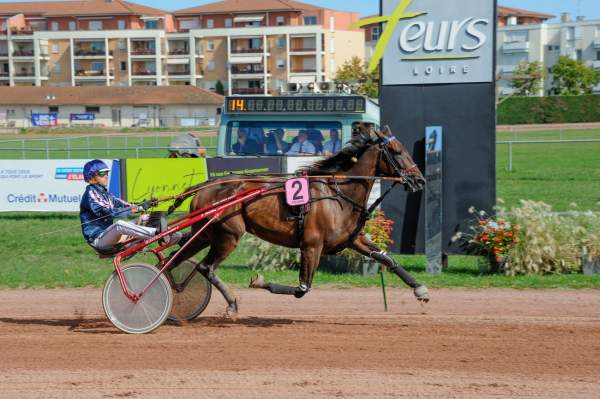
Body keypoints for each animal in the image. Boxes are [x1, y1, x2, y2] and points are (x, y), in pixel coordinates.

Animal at [169, 126, 432, 318]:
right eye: (396, 151)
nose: (420, 180)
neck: (338, 195)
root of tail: (204, 186)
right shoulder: (311, 246)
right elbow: (302, 289)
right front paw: (259, 281)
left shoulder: (351, 240)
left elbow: (387, 259)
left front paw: (420, 289)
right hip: (228, 236)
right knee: (205, 267)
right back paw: (231, 304)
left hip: (205, 235)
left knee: (177, 259)